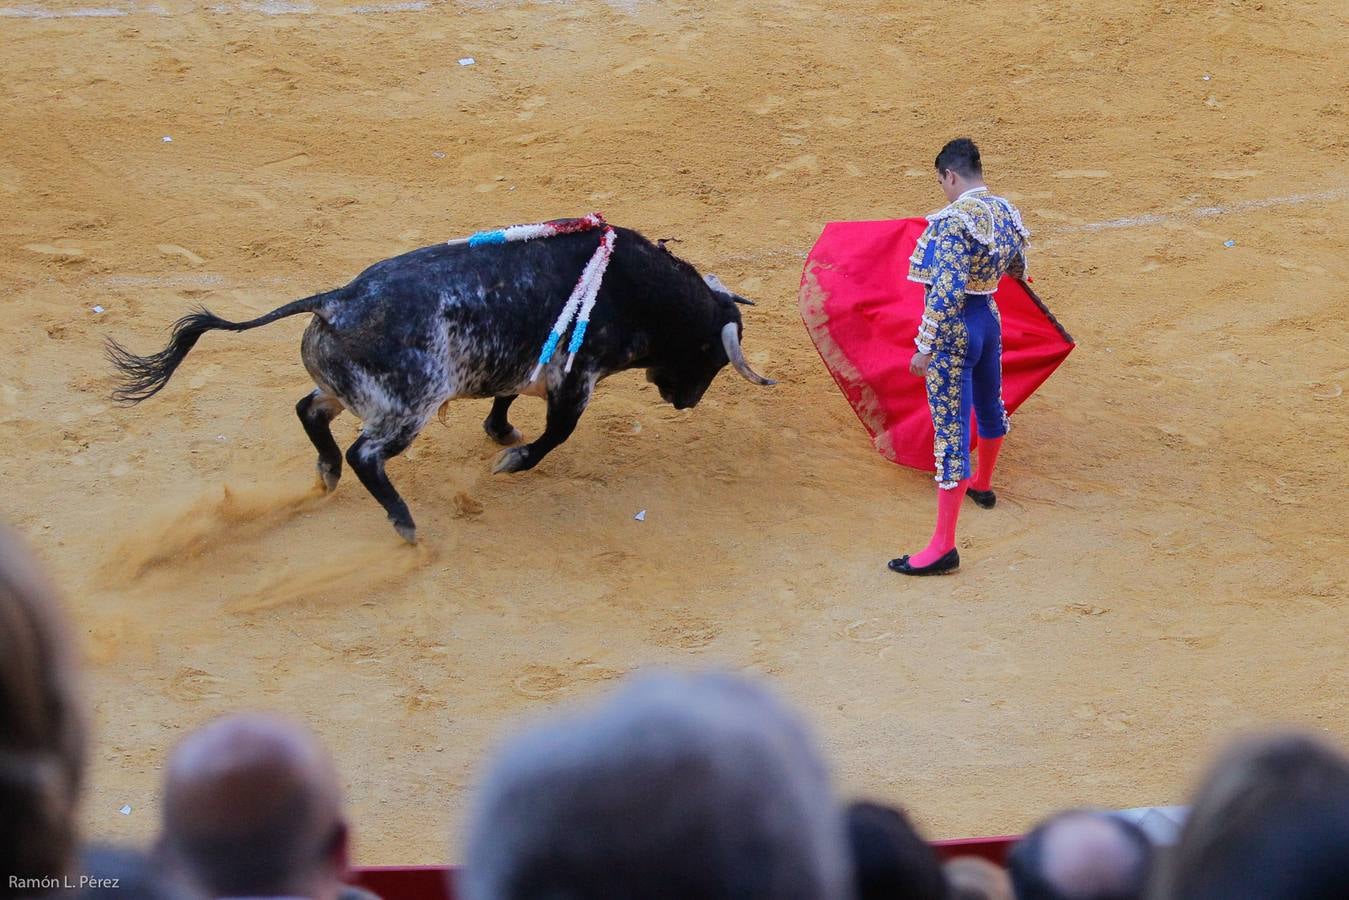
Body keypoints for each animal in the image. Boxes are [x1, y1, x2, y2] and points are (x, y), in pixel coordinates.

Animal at [109, 223, 777, 542]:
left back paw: (326, 474)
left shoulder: (525, 361)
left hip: (347, 390)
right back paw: (403, 524)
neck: (635, 289)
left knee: (310, 412)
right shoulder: (576, 380)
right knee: (366, 454)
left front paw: (499, 433)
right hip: (406, 408)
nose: (685, 402)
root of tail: (335, 300)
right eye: (711, 358)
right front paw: (510, 459)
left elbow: (506, 400)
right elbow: (554, 437)